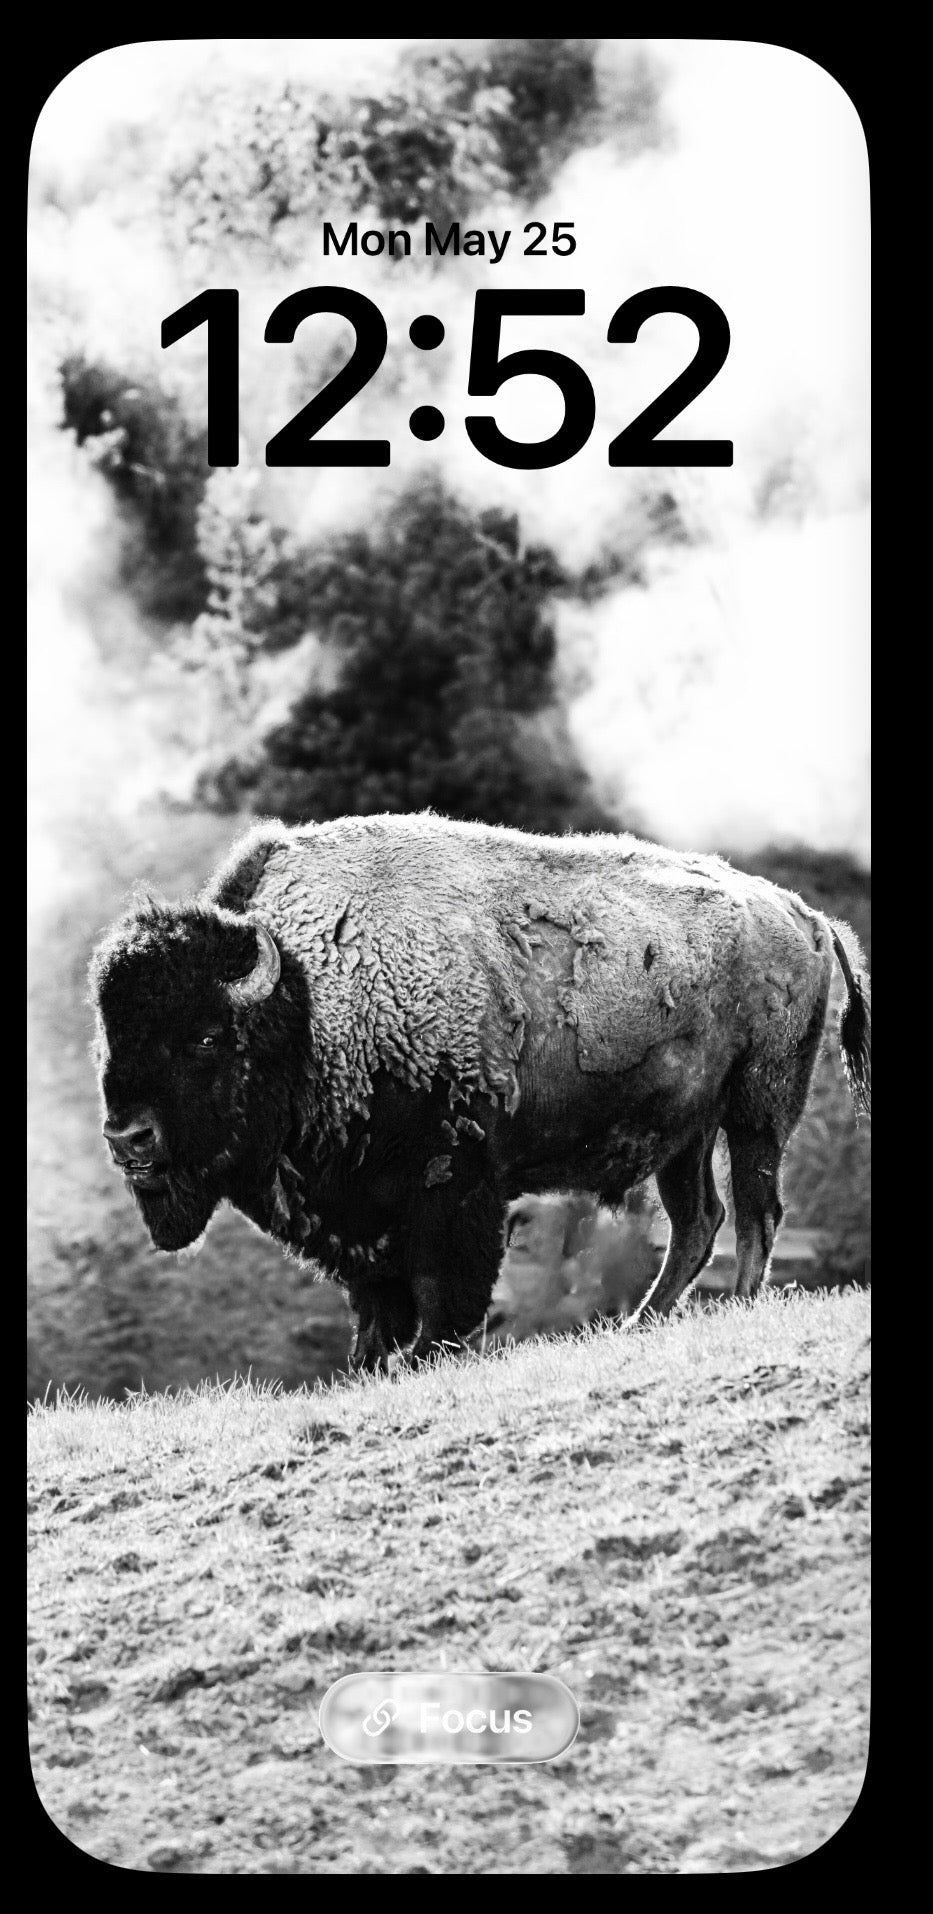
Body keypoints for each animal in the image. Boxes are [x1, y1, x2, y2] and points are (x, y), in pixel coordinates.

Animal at [91, 813, 871, 1368]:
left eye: (204, 1037)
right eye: (110, 1040)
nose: (127, 1139)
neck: (309, 1000)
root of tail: (804, 915)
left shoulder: (453, 1180)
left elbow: (445, 1286)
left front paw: (428, 1353)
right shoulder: (359, 1210)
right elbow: (374, 1299)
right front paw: (369, 1361)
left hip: (758, 1110)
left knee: (756, 1210)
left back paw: (733, 1304)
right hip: (687, 1134)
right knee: (697, 1220)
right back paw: (637, 1322)